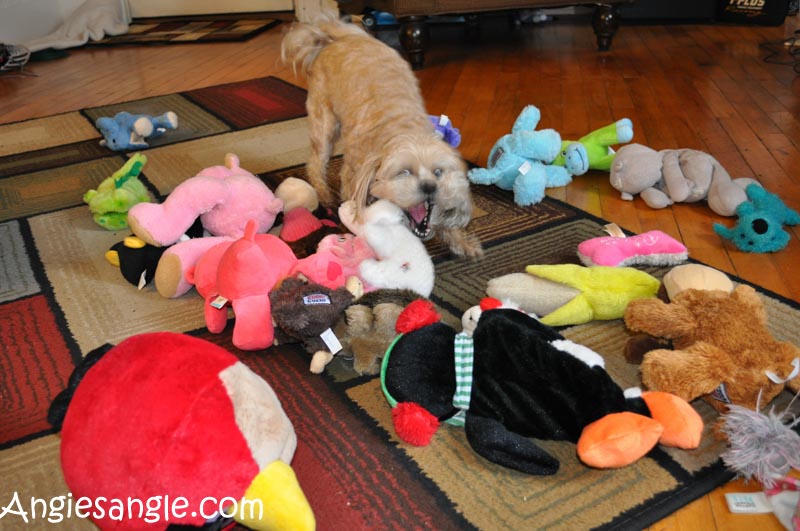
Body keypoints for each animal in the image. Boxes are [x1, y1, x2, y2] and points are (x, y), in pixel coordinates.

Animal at [282, 15, 482, 260]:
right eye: (404, 172)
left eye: (438, 172)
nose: (430, 187)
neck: (403, 129)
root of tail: (338, 39)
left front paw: (462, 242)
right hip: (325, 124)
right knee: (315, 163)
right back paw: (324, 193)